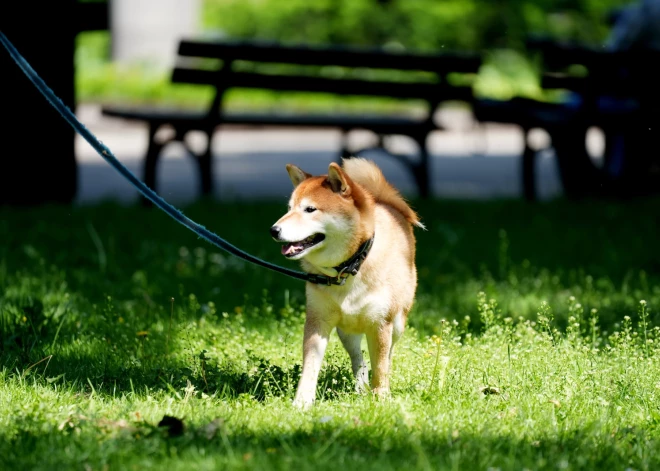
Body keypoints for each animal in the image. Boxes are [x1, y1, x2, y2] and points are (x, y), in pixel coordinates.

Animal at [272, 159, 422, 410]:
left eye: (310, 209)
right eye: (289, 208)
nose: (273, 230)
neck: (349, 268)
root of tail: (385, 202)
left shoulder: (381, 324)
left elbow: (380, 366)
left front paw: (381, 398)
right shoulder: (318, 320)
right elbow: (310, 366)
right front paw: (302, 401)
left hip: (397, 323)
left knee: (387, 356)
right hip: (346, 331)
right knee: (358, 360)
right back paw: (360, 389)